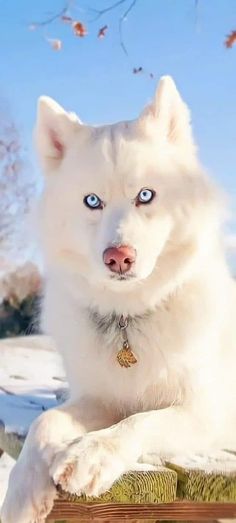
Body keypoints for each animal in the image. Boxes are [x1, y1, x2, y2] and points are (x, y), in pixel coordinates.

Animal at [1, 77, 236, 523]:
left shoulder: (206, 411)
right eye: (92, 201)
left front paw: (91, 455)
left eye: (146, 195)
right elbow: (46, 424)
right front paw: (21, 493)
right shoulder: (99, 398)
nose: (118, 257)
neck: (131, 317)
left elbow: (142, 422)